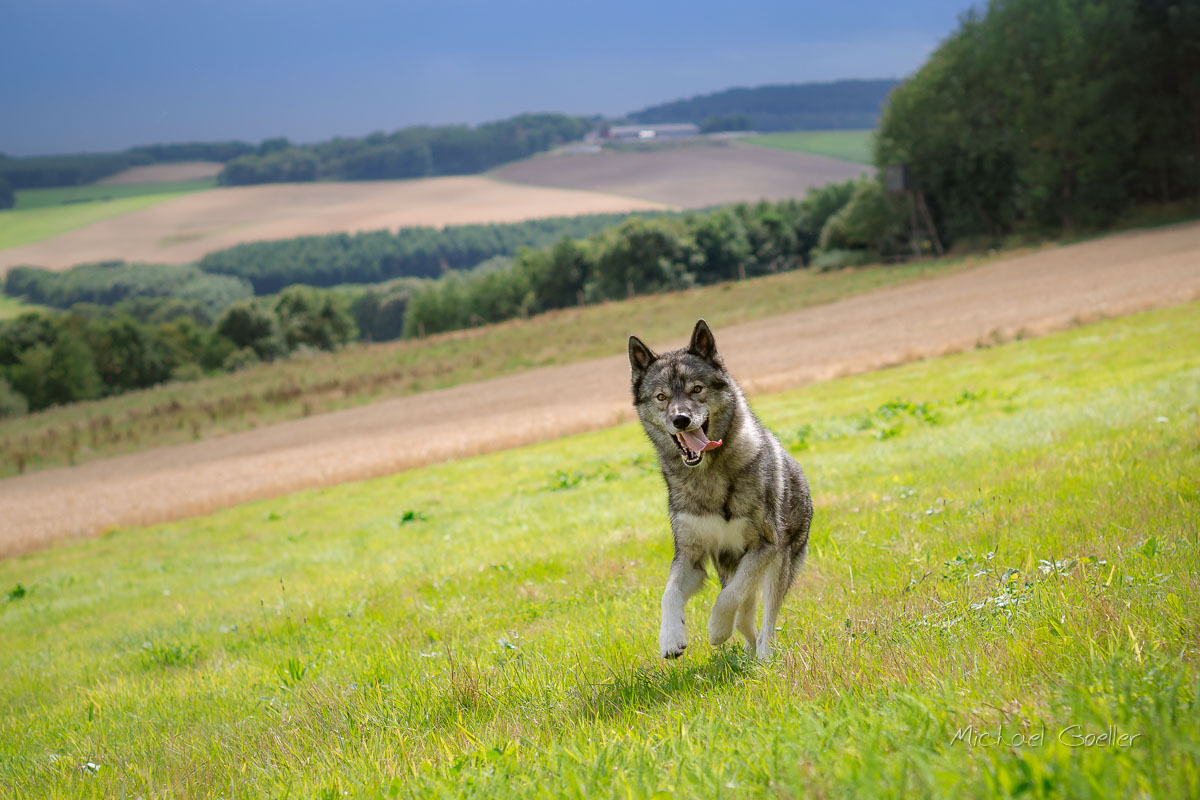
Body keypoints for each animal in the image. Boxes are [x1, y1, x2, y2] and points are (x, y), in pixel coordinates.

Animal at [628, 321, 816, 662]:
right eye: (661, 396)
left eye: (697, 389)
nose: (680, 419)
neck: (707, 474)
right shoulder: (691, 556)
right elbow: (669, 594)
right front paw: (670, 638)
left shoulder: (765, 546)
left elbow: (728, 597)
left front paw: (716, 629)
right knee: (745, 618)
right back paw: (750, 650)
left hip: (780, 565)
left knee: (766, 617)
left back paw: (764, 654)